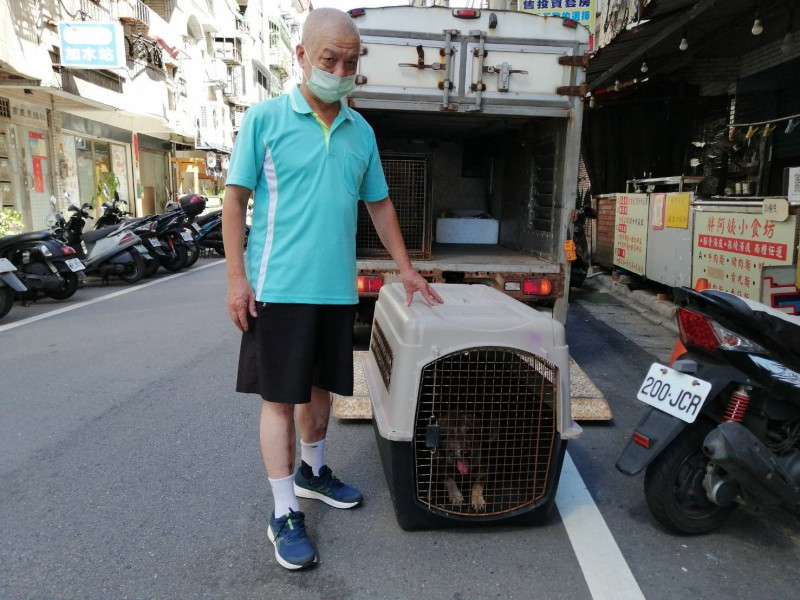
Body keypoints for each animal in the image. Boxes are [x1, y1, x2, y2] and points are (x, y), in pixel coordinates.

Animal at [412, 350, 556, 516]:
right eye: (450, 434)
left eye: (469, 431)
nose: (466, 452)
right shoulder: (438, 469)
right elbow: (449, 480)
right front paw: (456, 496)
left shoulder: (483, 470)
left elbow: (477, 485)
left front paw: (477, 500)